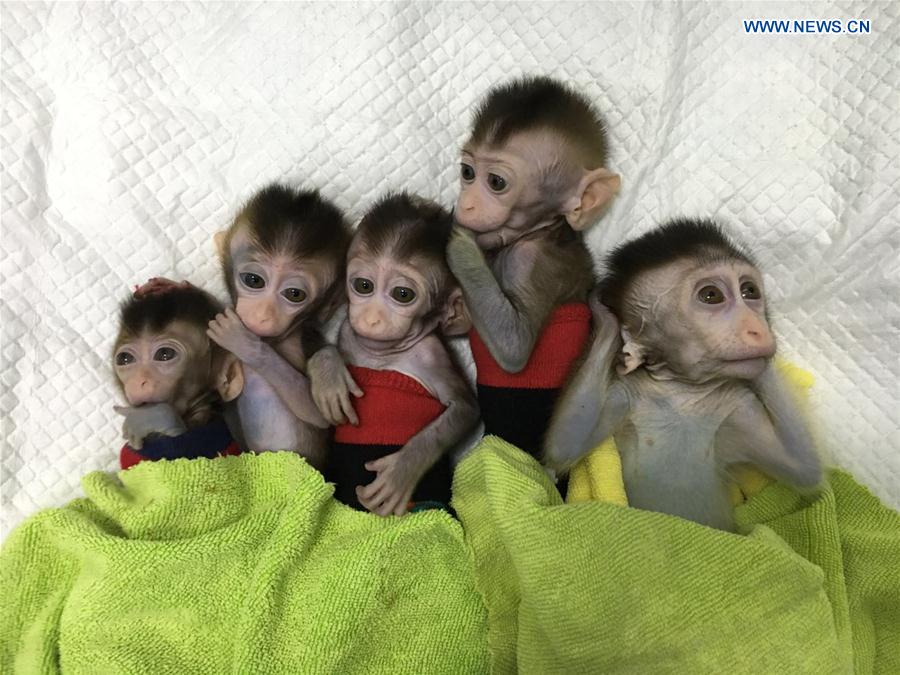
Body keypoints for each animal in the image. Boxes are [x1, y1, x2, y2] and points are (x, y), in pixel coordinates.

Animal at [321, 192, 479, 516]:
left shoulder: (433, 356)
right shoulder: (347, 332)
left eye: (402, 294)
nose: (371, 318)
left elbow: (465, 407)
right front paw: (328, 376)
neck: (384, 356)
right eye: (363, 286)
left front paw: (403, 469)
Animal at [447, 75, 621, 461]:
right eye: (467, 173)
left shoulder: (530, 261)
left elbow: (514, 345)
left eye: (496, 182)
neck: (540, 229)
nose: (466, 205)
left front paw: (458, 242)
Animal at [543, 218, 823, 531]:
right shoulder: (624, 393)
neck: (683, 393)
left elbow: (803, 466)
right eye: (711, 295)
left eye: (750, 291)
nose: (758, 328)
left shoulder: (739, 405)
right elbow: (566, 444)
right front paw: (604, 314)